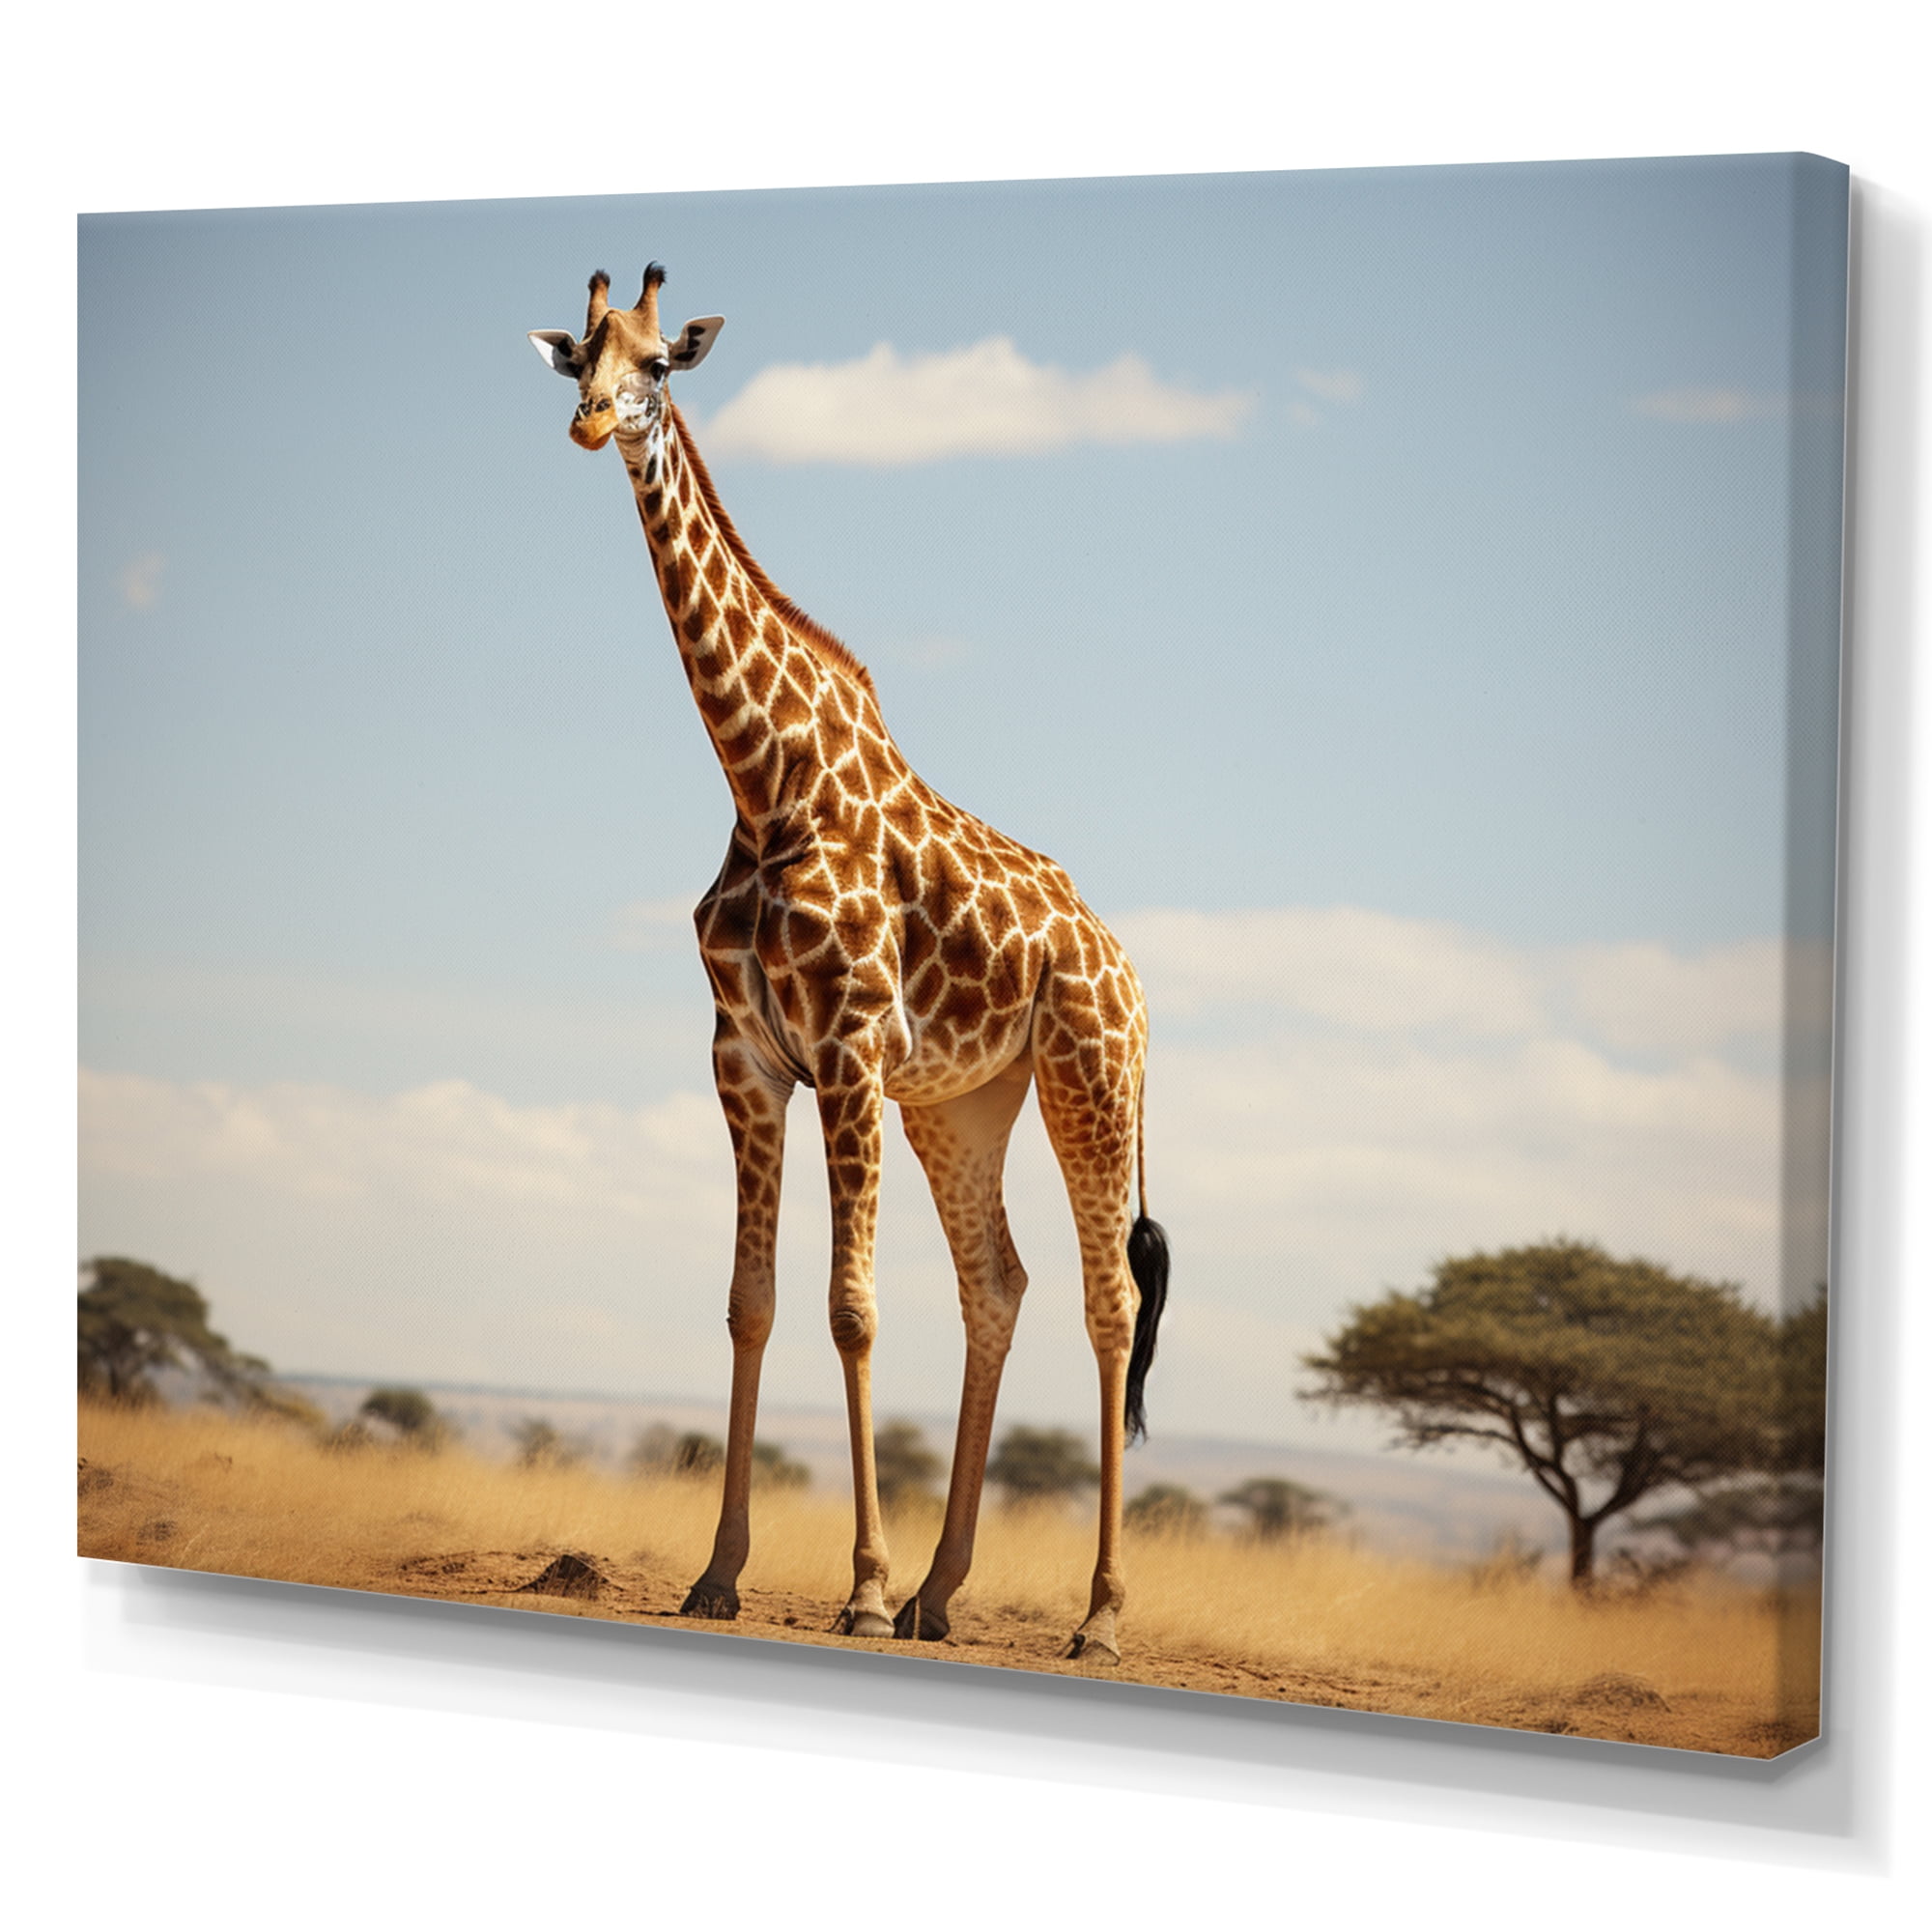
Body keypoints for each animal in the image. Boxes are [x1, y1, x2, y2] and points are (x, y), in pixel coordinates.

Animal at [529, 263, 1170, 1662]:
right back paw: (943, 1592)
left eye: (660, 365)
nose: (592, 424)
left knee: (1107, 1301)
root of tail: (1125, 964)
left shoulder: (850, 1047)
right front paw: (720, 1574)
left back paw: (1095, 1615)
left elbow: (851, 1306)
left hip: (1088, 1078)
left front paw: (861, 1589)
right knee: (999, 1283)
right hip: (964, 1101)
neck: (765, 783)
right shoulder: (747, 1056)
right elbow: (753, 1300)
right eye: (580, 357)